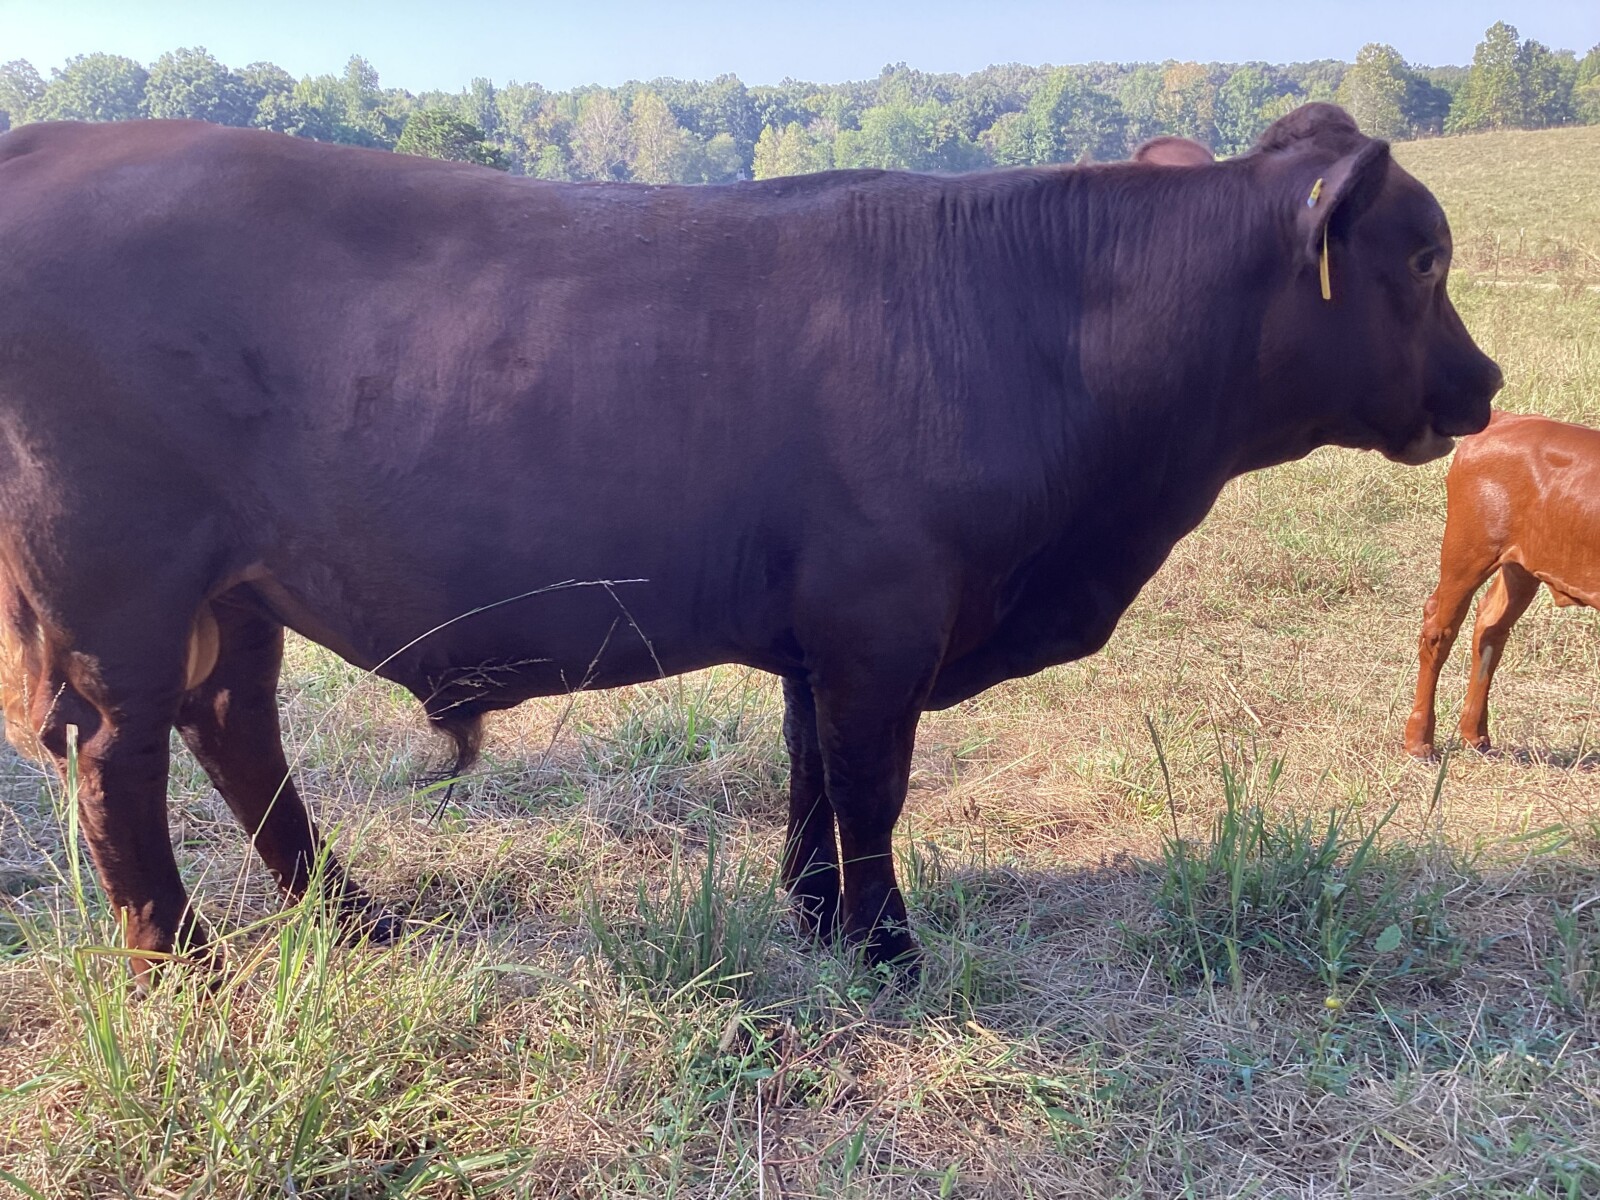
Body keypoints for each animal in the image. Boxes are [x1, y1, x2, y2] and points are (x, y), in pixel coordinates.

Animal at [0, 104, 1500, 981]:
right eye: (1425, 258)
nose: (1485, 385)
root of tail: (59, 136)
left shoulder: (821, 632)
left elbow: (810, 782)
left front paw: (814, 918)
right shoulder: (884, 620)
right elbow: (873, 789)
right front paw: (887, 950)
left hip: (234, 589)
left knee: (235, 731)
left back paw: (350, 917)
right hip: (121, 586)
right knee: (125, 762)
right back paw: (183, 961)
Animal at [1405, 412, 1599, 759]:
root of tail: (1505, 418)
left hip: (1519, 567)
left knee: (1490, 628)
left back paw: (1475, 735)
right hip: (1467, 552)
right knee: (1439, 631)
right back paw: (1418, 741)